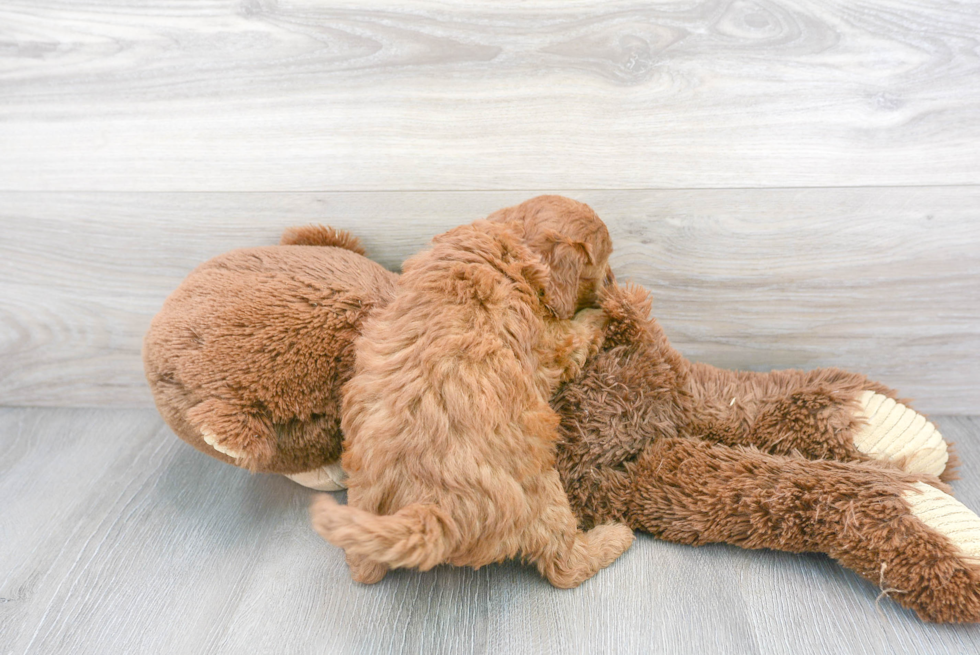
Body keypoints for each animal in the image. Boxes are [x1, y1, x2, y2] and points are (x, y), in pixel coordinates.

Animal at [312, 196, 636, 588]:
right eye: (602, 263)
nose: (614, 282)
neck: (510, 242)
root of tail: (426, 510)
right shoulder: (552, 343)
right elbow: (578, 332)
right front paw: (610, 311)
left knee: (362, 566)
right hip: (540, 488)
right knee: (564, 564)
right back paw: (613, 536)